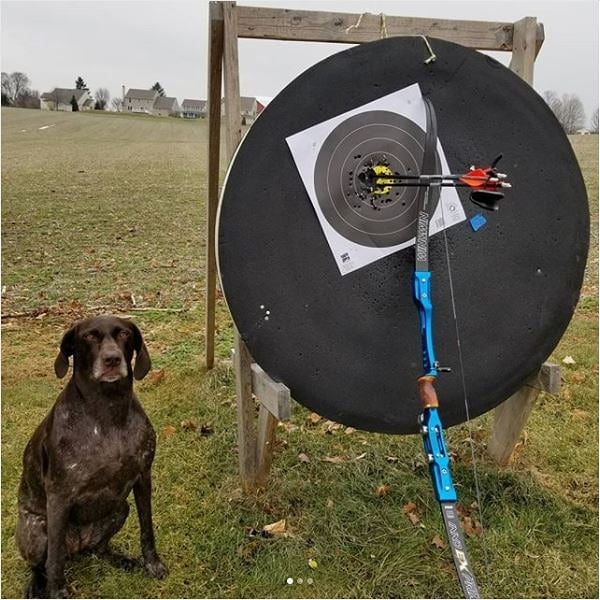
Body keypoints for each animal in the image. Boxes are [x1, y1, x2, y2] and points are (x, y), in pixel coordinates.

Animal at [16, 316, 166, 596]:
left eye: (124, 333)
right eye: (89, 336)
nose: (112, 359)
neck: (108, 412)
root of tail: (78, 546)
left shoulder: (143, 477)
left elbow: (147, 528)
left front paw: (152, 564)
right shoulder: (59, 496)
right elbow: (54, 561)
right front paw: (57, 592)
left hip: (120, 508)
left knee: (99, 548)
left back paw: (119, 560)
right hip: (35, 530)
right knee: (41, 564)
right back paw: (36, 585)